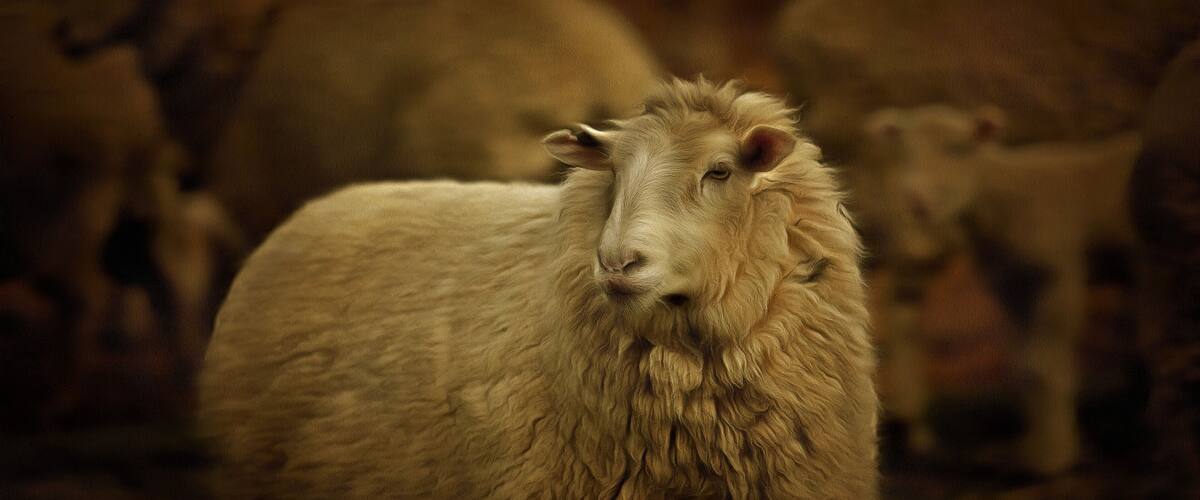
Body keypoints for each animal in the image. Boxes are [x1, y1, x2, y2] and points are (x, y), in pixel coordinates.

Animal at [859, 104, 1142, 474]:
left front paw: (1054, 459)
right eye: (904, 152)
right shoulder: (1011, 285)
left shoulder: (1059, 274)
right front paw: (1036, 449)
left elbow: (1045, 367)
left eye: (958, 148)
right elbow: (1025, 366)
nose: (914, 200)